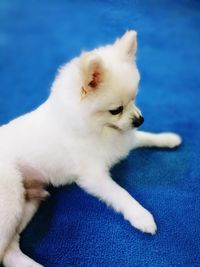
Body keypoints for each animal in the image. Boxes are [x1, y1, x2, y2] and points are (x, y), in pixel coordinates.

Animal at [0, 31, 181, 267]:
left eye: (134, 99)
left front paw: (168, 138)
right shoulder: (93, 177)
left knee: (9, 251)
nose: (140, 119)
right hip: (10, 201)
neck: (101, 130)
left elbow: (146, 137)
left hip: (28, 204)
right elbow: (120, 193)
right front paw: (140, 215)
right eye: (116, 110)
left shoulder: (125, 139)